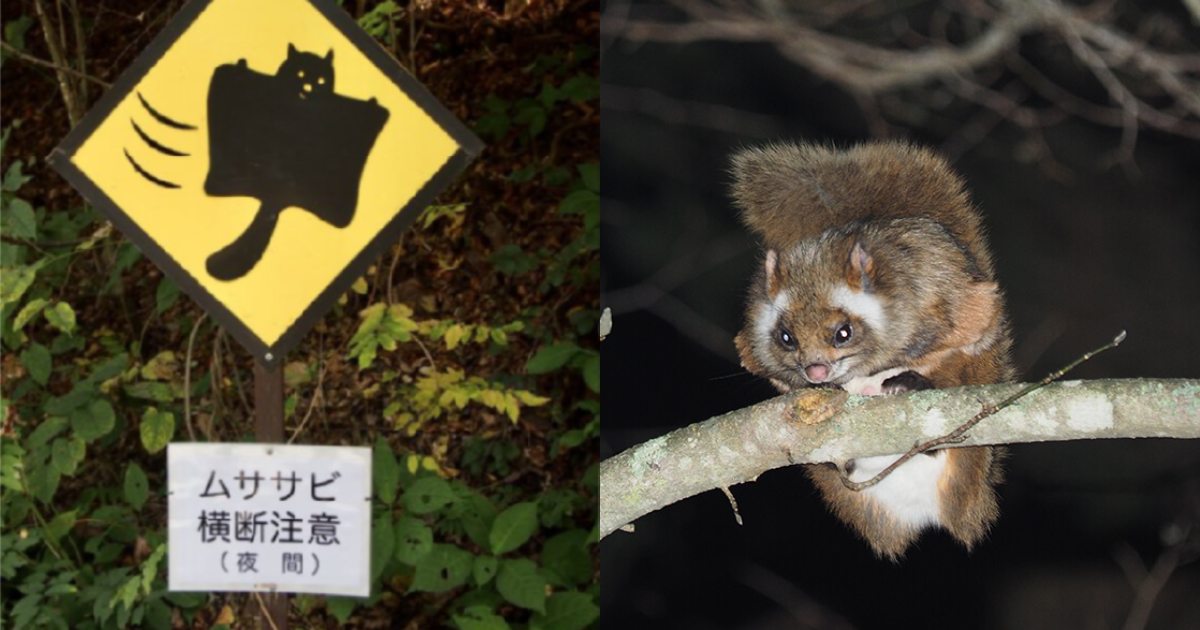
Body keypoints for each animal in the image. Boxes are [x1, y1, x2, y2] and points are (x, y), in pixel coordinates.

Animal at [724, 139, 1017, 556]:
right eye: (786, 338)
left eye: (843, 333)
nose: (816, 371)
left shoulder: (955, 302)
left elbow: (967, 326)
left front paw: (884, 376)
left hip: (977, 378)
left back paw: (908, 388)